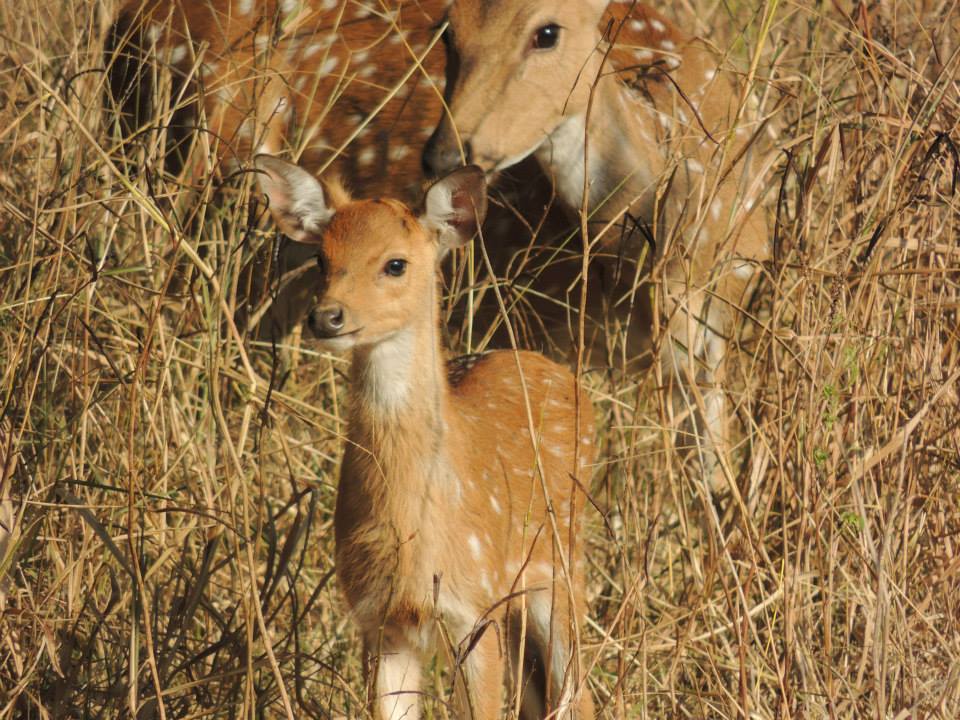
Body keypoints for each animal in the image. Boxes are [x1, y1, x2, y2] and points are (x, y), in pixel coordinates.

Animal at [253, 153, 596, 719]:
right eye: (322, 258)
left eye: (395, 264)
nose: (327, 316)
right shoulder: (379, 618)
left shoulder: (473, 606)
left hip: (563, 564)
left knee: (577, 691)